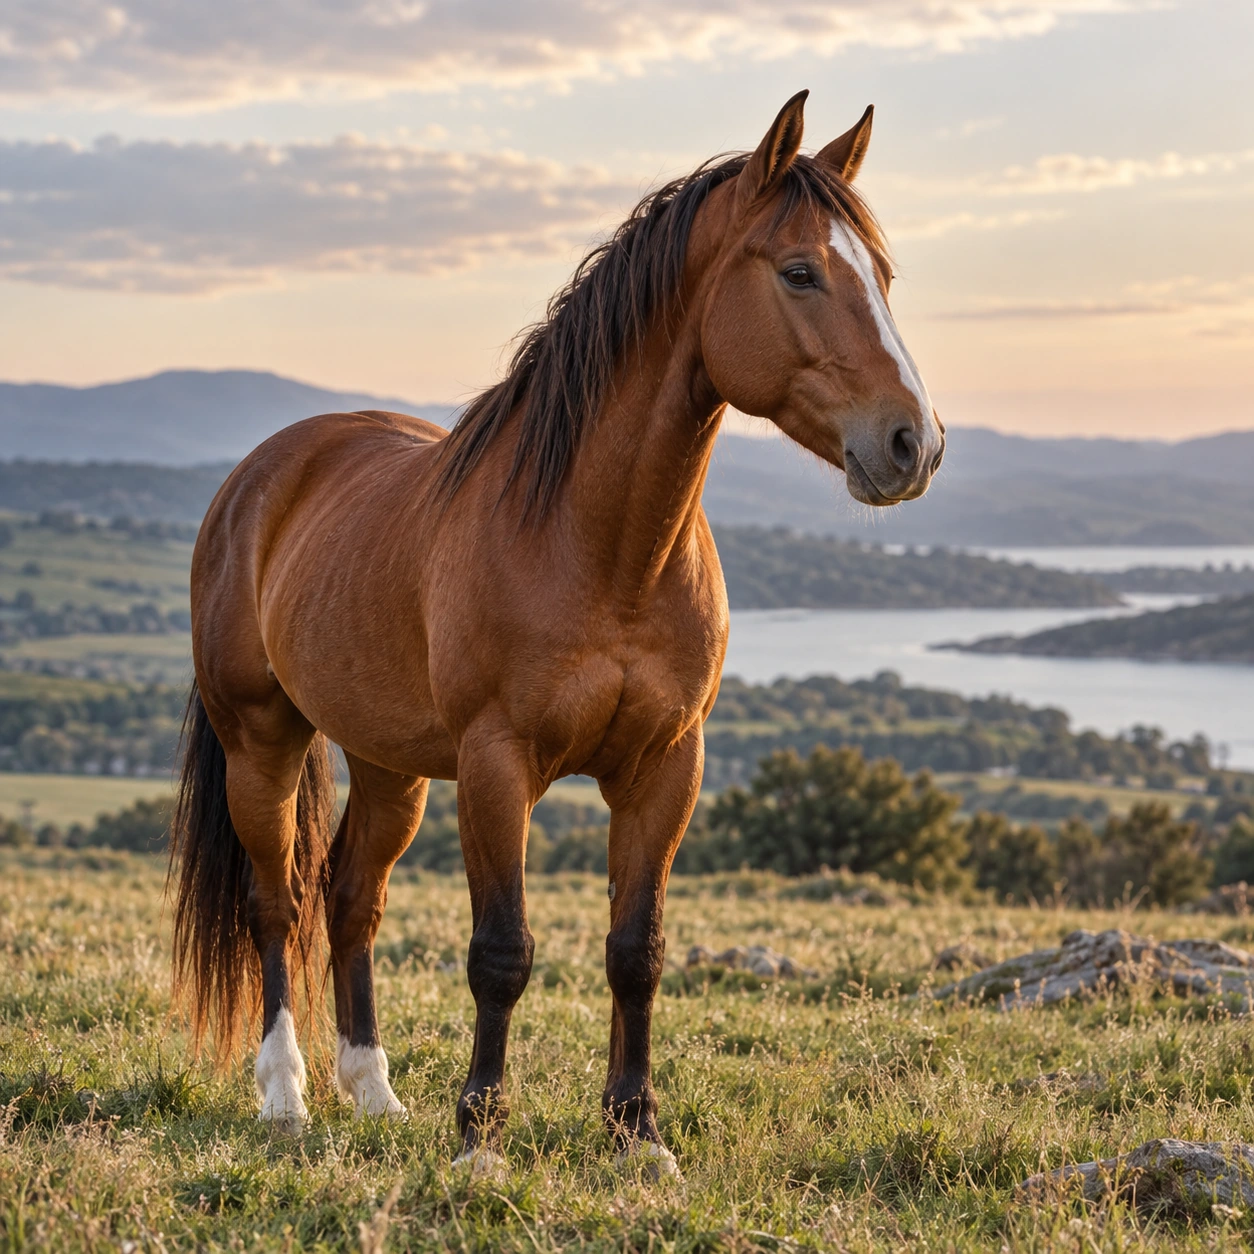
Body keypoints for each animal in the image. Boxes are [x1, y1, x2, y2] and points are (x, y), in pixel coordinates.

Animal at [170, 90, 944, 1173]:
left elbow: (637, 951)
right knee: (275, 903)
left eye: (882, 275)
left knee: (348, 897)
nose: (914, 444)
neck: (601, 547)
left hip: (390, 764)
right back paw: (286, 1095)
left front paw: (638, 1135)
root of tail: (267, 472)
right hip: (262, 740)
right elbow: (503, 952)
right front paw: (481, 1139)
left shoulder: (666, 767)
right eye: (798, 271)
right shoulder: (498, 765)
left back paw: (374, 1093)